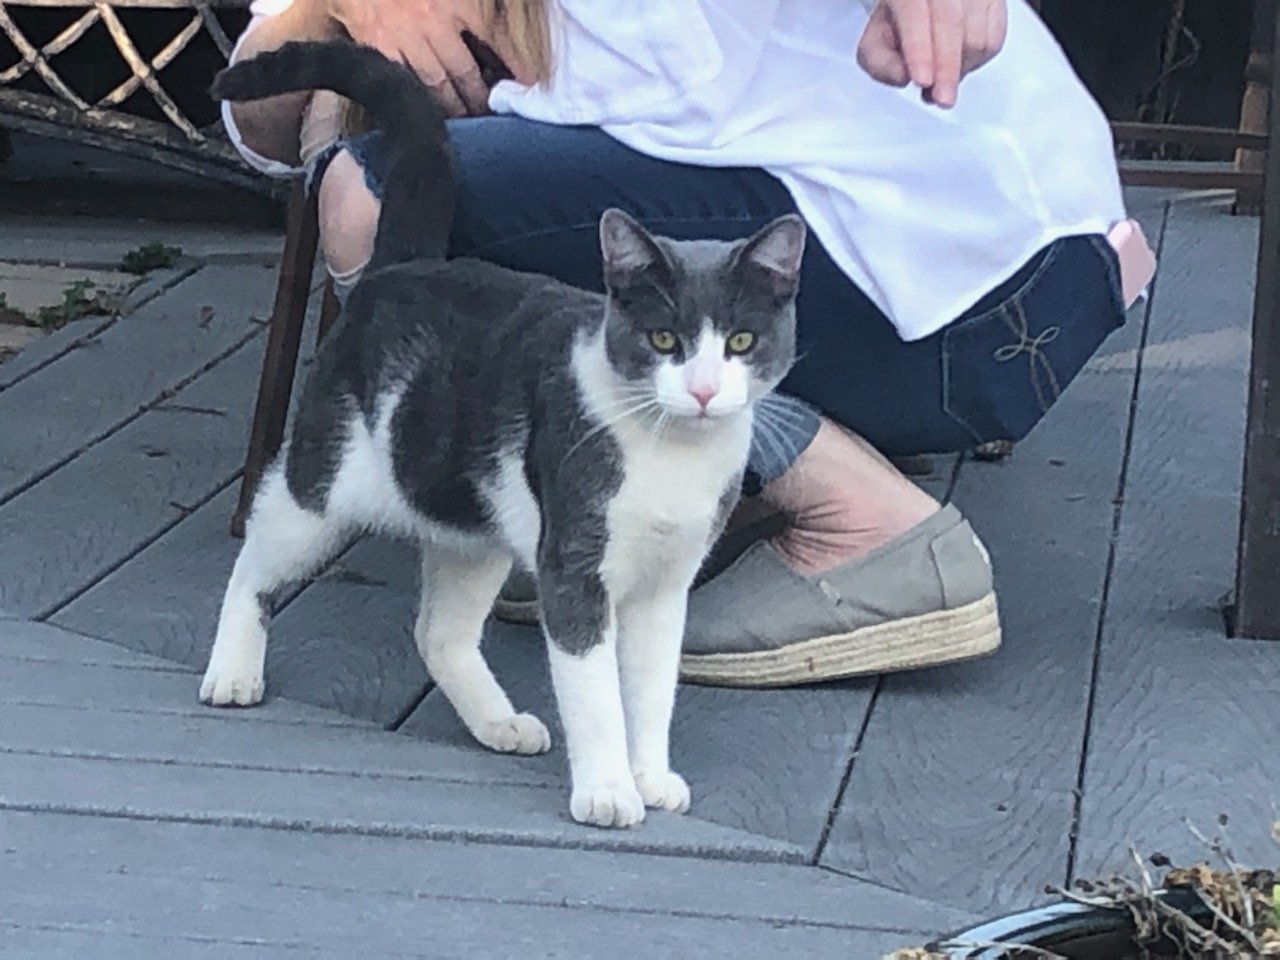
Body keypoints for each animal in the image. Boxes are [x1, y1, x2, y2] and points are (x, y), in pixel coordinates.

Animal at [202, 41, 798, 829]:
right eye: (665, 339)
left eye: (739, 342)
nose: (702, 391)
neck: (671, 457)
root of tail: (403, 264)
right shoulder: (573, 569)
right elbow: (596, 694)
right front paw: (608, 790)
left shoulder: (668, 586)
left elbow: (650, 691)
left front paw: (650, 775)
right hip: (320, 488)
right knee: (256, 564)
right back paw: (232, 673)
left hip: (472, 524)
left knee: (440, 632)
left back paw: (500, 723)